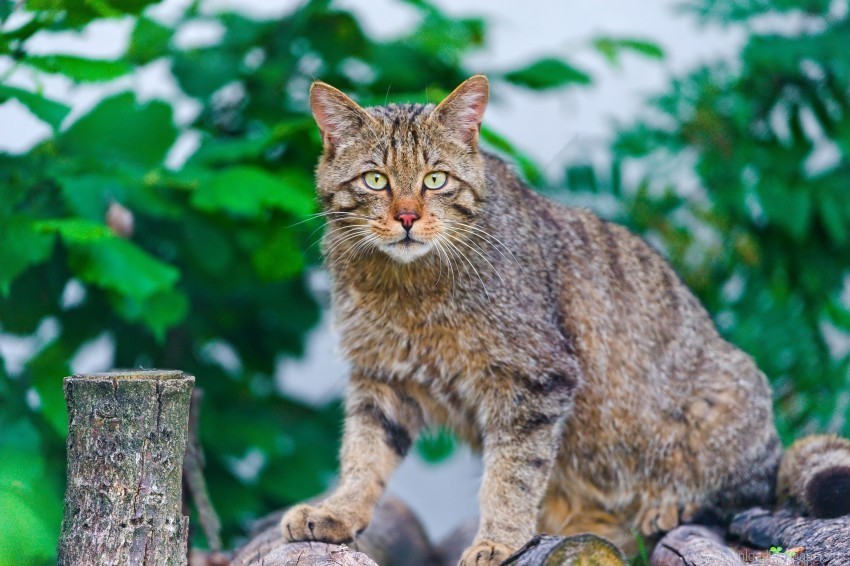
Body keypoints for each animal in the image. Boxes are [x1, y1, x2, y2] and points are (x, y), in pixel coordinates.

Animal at [280, 76, 848, 566]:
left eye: (435, 179)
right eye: (375, 179)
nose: (406, 216)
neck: (406, 287)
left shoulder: (535, 377)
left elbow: (512, 474)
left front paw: (500, 539)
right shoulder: (381, 377)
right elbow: (363, 456)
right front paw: (338, 510)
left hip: (728, 399)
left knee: (746, 490)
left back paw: (671, 503)